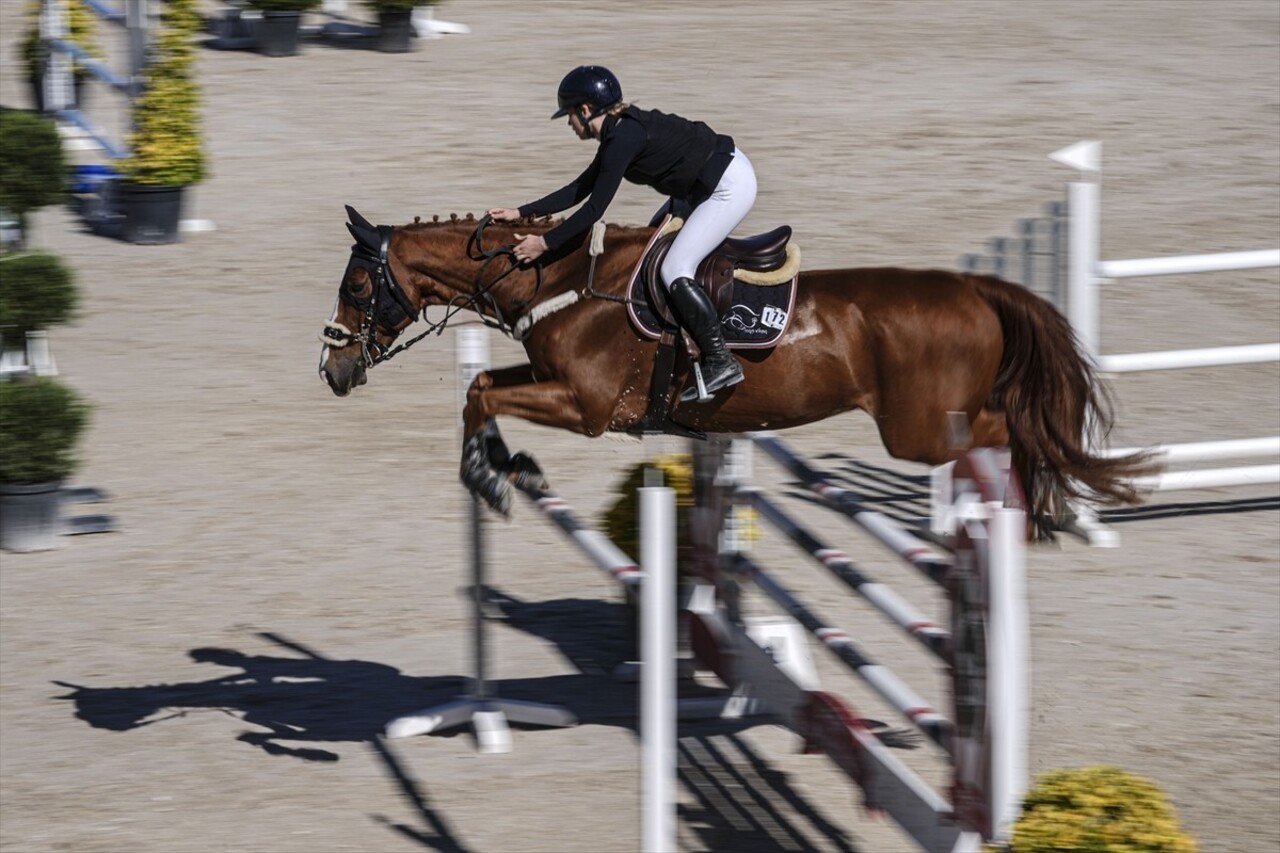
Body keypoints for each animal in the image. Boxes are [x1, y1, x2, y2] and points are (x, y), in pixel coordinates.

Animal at [317, 207, 1152, 532]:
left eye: (357, 285)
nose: (332, 368)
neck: (557, 279)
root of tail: (974, 288)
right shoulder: (559, 389)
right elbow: (481, 389)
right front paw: (509, 469)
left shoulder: (588, 408)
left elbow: (485, 393)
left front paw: (491, 477)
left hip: (917, 428)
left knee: (1015, 428)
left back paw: (1033, 505)